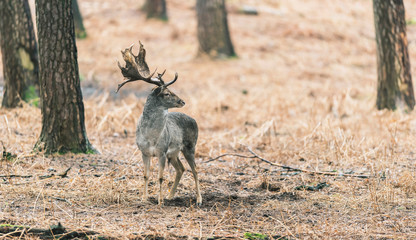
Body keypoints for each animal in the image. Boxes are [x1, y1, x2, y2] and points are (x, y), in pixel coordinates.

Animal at [116, 42, 202, 205]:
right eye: (167, 93)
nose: (182, 101)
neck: (151, 137)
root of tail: (194, 120)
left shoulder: (162, 151)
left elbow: (160, 177)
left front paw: (159, 200)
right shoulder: (144, 152)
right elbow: (146, 175)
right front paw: (144, 198)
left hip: (190, 146)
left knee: (195, 169)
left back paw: (199, 199)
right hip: (174, 153)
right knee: (181, 168)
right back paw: (171, 195)